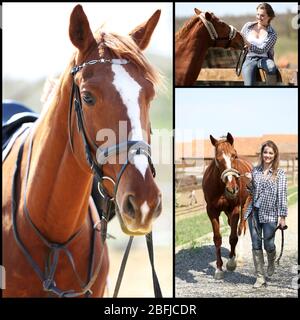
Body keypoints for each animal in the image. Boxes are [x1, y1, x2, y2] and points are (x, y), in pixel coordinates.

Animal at [203, 134, 252, 278]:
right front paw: (219, 269)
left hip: (245, 206)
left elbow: (233, 237)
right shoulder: (212, 211)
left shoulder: (235, 210)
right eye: (217, 159)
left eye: (234, 155)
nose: (232, 189)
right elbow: (217, 239)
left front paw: (231, 263)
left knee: (241, 229)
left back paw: (238, 257)